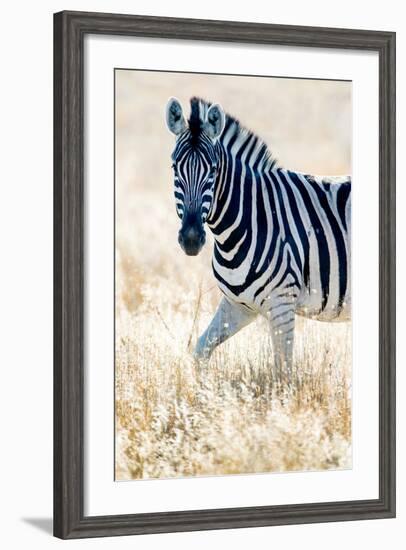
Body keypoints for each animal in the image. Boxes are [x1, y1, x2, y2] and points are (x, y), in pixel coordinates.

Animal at [165, 97, 352, 386]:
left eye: (213, 171)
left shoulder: (282, 303)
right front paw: (201, 392)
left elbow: (283, 373)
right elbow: (200, 349)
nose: (192, 239)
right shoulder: (238, 305)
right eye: (175, 168)